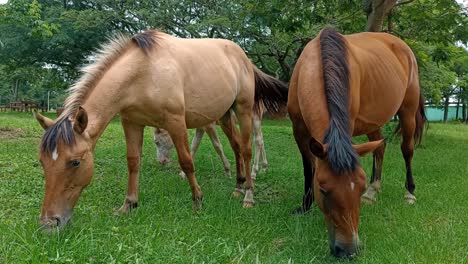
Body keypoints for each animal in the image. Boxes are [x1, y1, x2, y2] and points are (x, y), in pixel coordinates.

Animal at [33, 30, 288, 229]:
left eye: (75, 162)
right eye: (42, 162)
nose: (49, 223)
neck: (142, 72)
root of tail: (243, 56)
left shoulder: (176, 122)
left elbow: (186, 160)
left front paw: (197, 200)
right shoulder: (131, 123)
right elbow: (133, 162)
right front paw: (129, 204)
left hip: (243, 110)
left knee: (246, 149)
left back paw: (248, 196)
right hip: (224, 115)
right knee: (235, 146)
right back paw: (237, 186)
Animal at [288, 27, 426, 256]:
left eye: (358, 188)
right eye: (323, 189)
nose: (348, 250)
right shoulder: (298, 130)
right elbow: (309, 168)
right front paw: (305, 206)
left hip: (408, 111)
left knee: (407, 150)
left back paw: (409, 193)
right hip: (373, 122)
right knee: (380, 146)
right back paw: (373, 191)